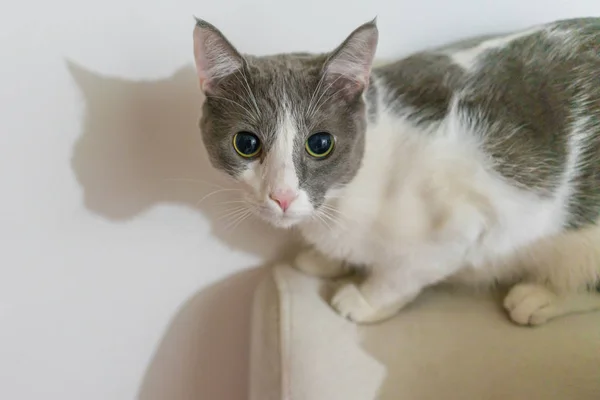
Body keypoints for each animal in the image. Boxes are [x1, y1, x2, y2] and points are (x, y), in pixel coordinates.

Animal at [191, 17, 600, 326]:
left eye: (320, 143)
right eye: (246, 143)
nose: (283, 195)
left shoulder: (467, 219)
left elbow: (402, 274)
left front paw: (364, 299)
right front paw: (323, 259)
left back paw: (540, 296)